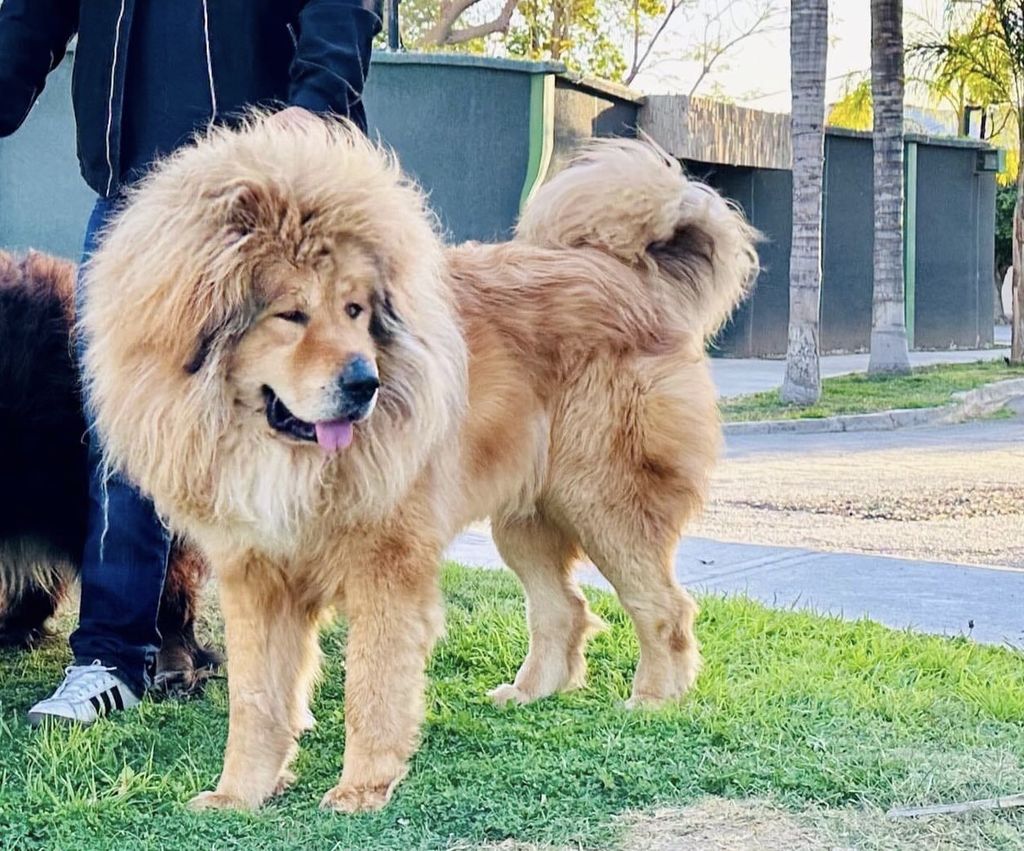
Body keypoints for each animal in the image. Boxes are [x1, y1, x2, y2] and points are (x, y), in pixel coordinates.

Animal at [81, 116, 761, 815]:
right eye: (292, 315)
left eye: (355, 310)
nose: (365, 383)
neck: (280, 453)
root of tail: (630, 275)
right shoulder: (256, 576)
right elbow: (256, 700)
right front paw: (240, 794)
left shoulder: (386, 568)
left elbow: (373, 686)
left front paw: (362, 786)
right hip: (526, 519)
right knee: (563, 608)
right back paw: (532, 693)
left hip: (605, 504)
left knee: (664, 608)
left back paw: (655, 699)